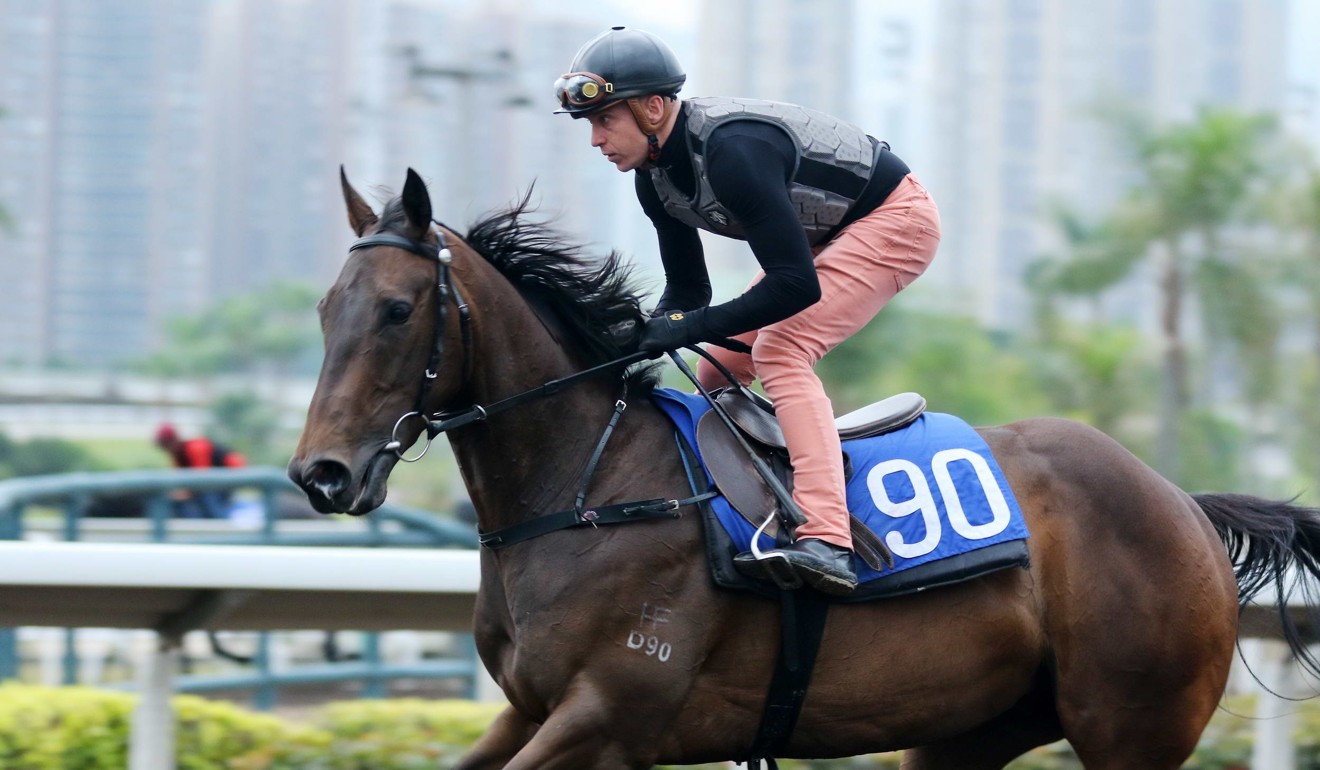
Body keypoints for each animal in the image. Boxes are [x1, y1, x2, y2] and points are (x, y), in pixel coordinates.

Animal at [291, 167, 1320, 770]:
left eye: (396, 311)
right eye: (325, 308)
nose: (321, 475)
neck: (585, 491)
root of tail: (1183, 503)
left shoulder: (610, 716)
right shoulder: (531, 709)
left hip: (1130, 726)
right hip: (968, 731)